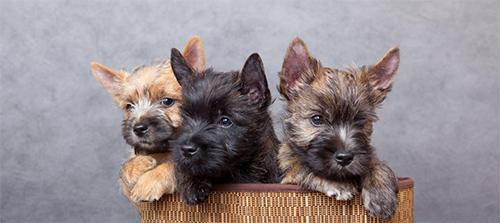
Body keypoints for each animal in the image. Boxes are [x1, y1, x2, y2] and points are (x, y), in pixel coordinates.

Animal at [90, 35, 205, 206]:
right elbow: (125, 170)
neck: (163, 150)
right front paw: (135, 167)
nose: (138, 128)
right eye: (129, 106)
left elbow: (174, 166)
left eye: (167, 101)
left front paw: (151, 181)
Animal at [280, 38, 400, 220]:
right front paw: (338, 183)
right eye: (317, 119)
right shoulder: (286, 174)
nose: (345, 157)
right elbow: (300, 167)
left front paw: (381, 194)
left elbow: (374, 162)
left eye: (360, 122)